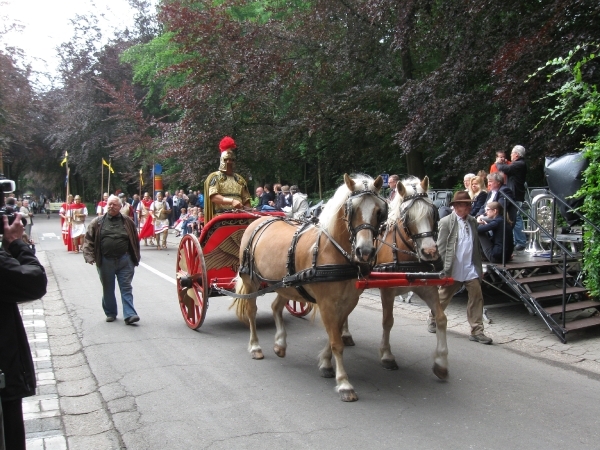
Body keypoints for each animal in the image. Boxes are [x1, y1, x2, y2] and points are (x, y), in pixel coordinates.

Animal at [232, 174, 386, 402]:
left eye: (378, 211)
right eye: (352, 209)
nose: (365, 251)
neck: (333, 251)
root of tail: (259, 221)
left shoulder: (349, 302)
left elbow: (335, 334)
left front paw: (325, 363)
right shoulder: (327, 304)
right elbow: (336, 341)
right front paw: (344, 384)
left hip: (286, 284)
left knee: (276, 307)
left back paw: (280, 344)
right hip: (252, 281)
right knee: (252, 312)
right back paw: (255, 346)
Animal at [342, 176, 446, 380]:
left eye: (433, 212)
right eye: (408, 216)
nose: (430, 252)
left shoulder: (427, 287)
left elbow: (441, 318)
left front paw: (441, 362)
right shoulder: (388, 291)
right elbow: (387, 321)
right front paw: (387, 356)